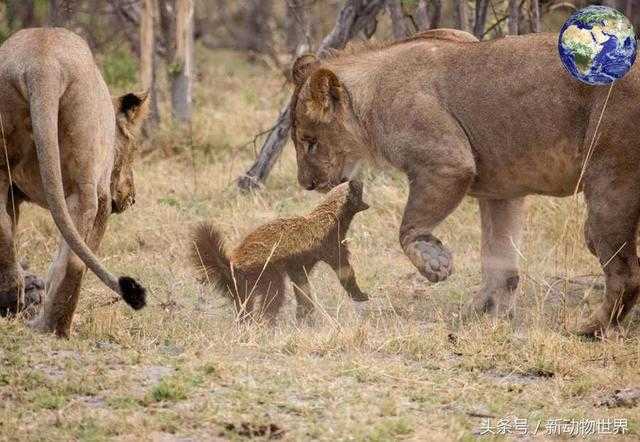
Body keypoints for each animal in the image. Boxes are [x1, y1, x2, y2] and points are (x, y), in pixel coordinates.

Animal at [0, 27, 148, 336]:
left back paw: (12, 305)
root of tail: (42, 63)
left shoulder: (13, 193)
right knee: (73, 259)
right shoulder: (103, 196)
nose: (132, 197)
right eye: (133, 148)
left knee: (3, 232)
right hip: (85, 183)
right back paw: (53, 327)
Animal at [190, 180, 370, 322]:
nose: (359, 179)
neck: (330, 215)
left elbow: (302, 287)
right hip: (265, 273)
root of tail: (231, 264)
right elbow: (344, 271)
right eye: (358, 188)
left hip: (242, 286)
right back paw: (265, 323)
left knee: (244, 305)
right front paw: (361, 295)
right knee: (273, 296)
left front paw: (304, 314)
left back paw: (246, 323)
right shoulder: (330, 245)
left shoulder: (299, 265)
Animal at [292, 28, 640, 338]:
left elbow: (408, 228)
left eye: (309, 142)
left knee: (626, 273)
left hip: (611, 182)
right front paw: (483, 314)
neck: (369, 99)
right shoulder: (502, 191)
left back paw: (590, 328)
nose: (306, 184)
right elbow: (499, 261)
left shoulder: (448, 162)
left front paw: (436, 264)